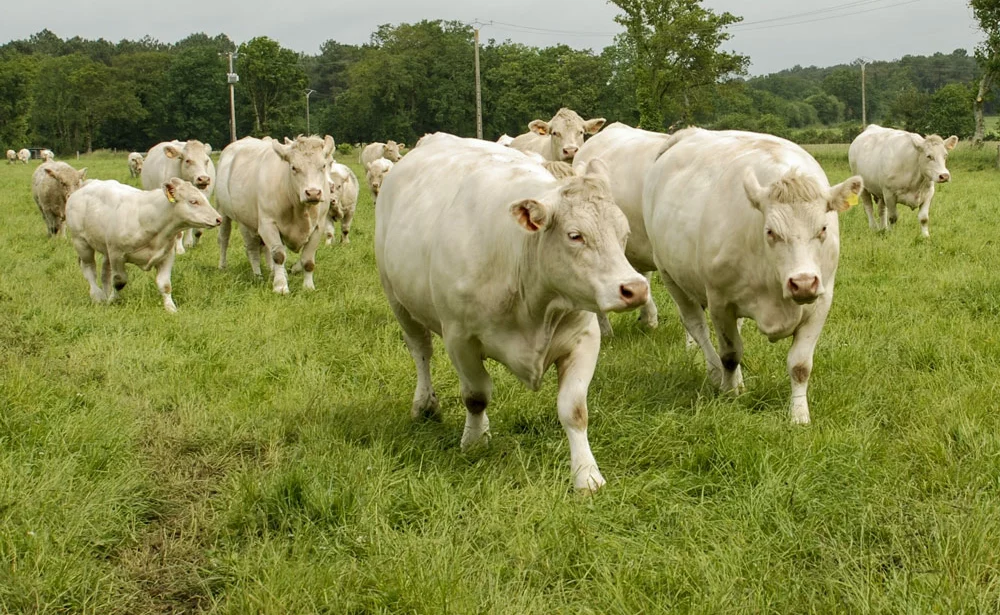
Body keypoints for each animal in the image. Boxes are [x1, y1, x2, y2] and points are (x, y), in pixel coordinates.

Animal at [66, 178, 223, 312]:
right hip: (81, 243)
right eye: (193, 201)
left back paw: (104, 293)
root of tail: (87, 184)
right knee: (89, 269)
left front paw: (171, 308)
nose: (219, 219)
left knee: (105, 273)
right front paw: (113, 300)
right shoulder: (117, 254)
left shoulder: (166, 256)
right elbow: (119, 281)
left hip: (106, 249)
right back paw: (97, 295)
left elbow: (165, 285)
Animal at [217, 135, 334, 294]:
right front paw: (280, 286)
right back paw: (245, 272)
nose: (313, 193)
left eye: (323, 166)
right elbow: (279, 256)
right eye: (293, 167)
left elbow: (308, 260)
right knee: (235, 243)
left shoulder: (318, 228)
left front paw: (308, 287)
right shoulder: (268, 224)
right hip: (227, 214)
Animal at [376, 132, 648, 494]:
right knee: (421, 351)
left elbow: (574, 409)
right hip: (398, 300)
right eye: (575, 235)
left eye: (624, 234)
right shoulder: (459, 338)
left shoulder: (584, 338)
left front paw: (587, 475)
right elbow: (476, 395)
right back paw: (424, 403)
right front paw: (474, 441)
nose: (636, 288)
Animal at [644, 127, 864, 426]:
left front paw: (799, 415)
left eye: (823, 228)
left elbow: (800, 365)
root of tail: (688, 133)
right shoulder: (720, 301)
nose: (803, 283)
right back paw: (717, 375)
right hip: (671, 277)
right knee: (698, 328)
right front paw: (729, 394)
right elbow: (730, 354)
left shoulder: (821, 302)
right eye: (770, 231)